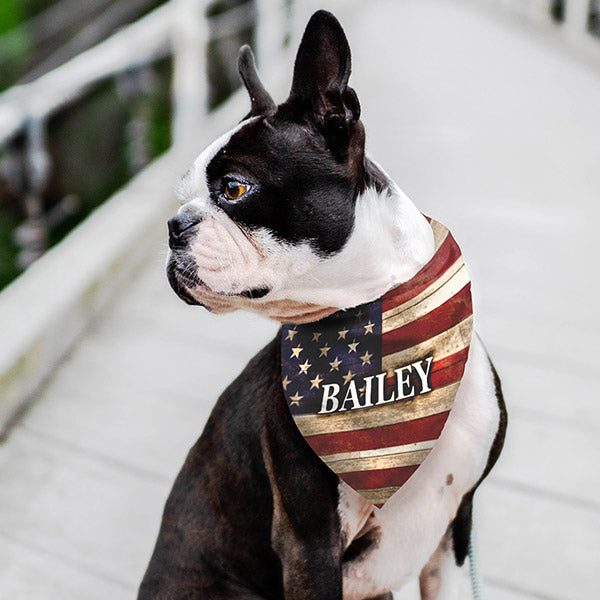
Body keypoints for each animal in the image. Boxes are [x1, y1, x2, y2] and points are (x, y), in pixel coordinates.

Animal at [139, 10, 506, 600]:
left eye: (234, 189)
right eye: (182, 198)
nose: (175, 225)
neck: (378, 329)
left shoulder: (457, 528)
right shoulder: (309, 543)